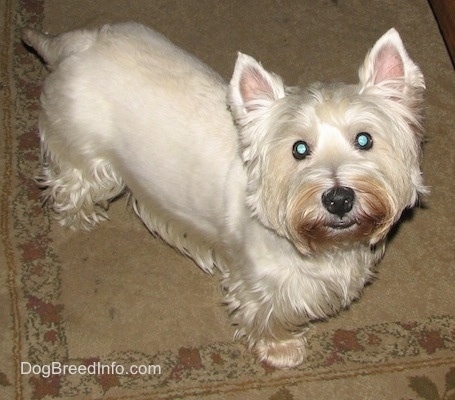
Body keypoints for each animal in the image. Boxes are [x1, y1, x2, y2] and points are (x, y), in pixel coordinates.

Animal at [22, 23, 428, 368]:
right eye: (299, 149)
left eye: (365, 139)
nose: (339, 199)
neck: (323, 248)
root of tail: (76, 46)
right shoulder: (262, 285)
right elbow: (267, 318)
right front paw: (282, 350)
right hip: (83, 153)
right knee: (69, 182)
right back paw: (80, 216)